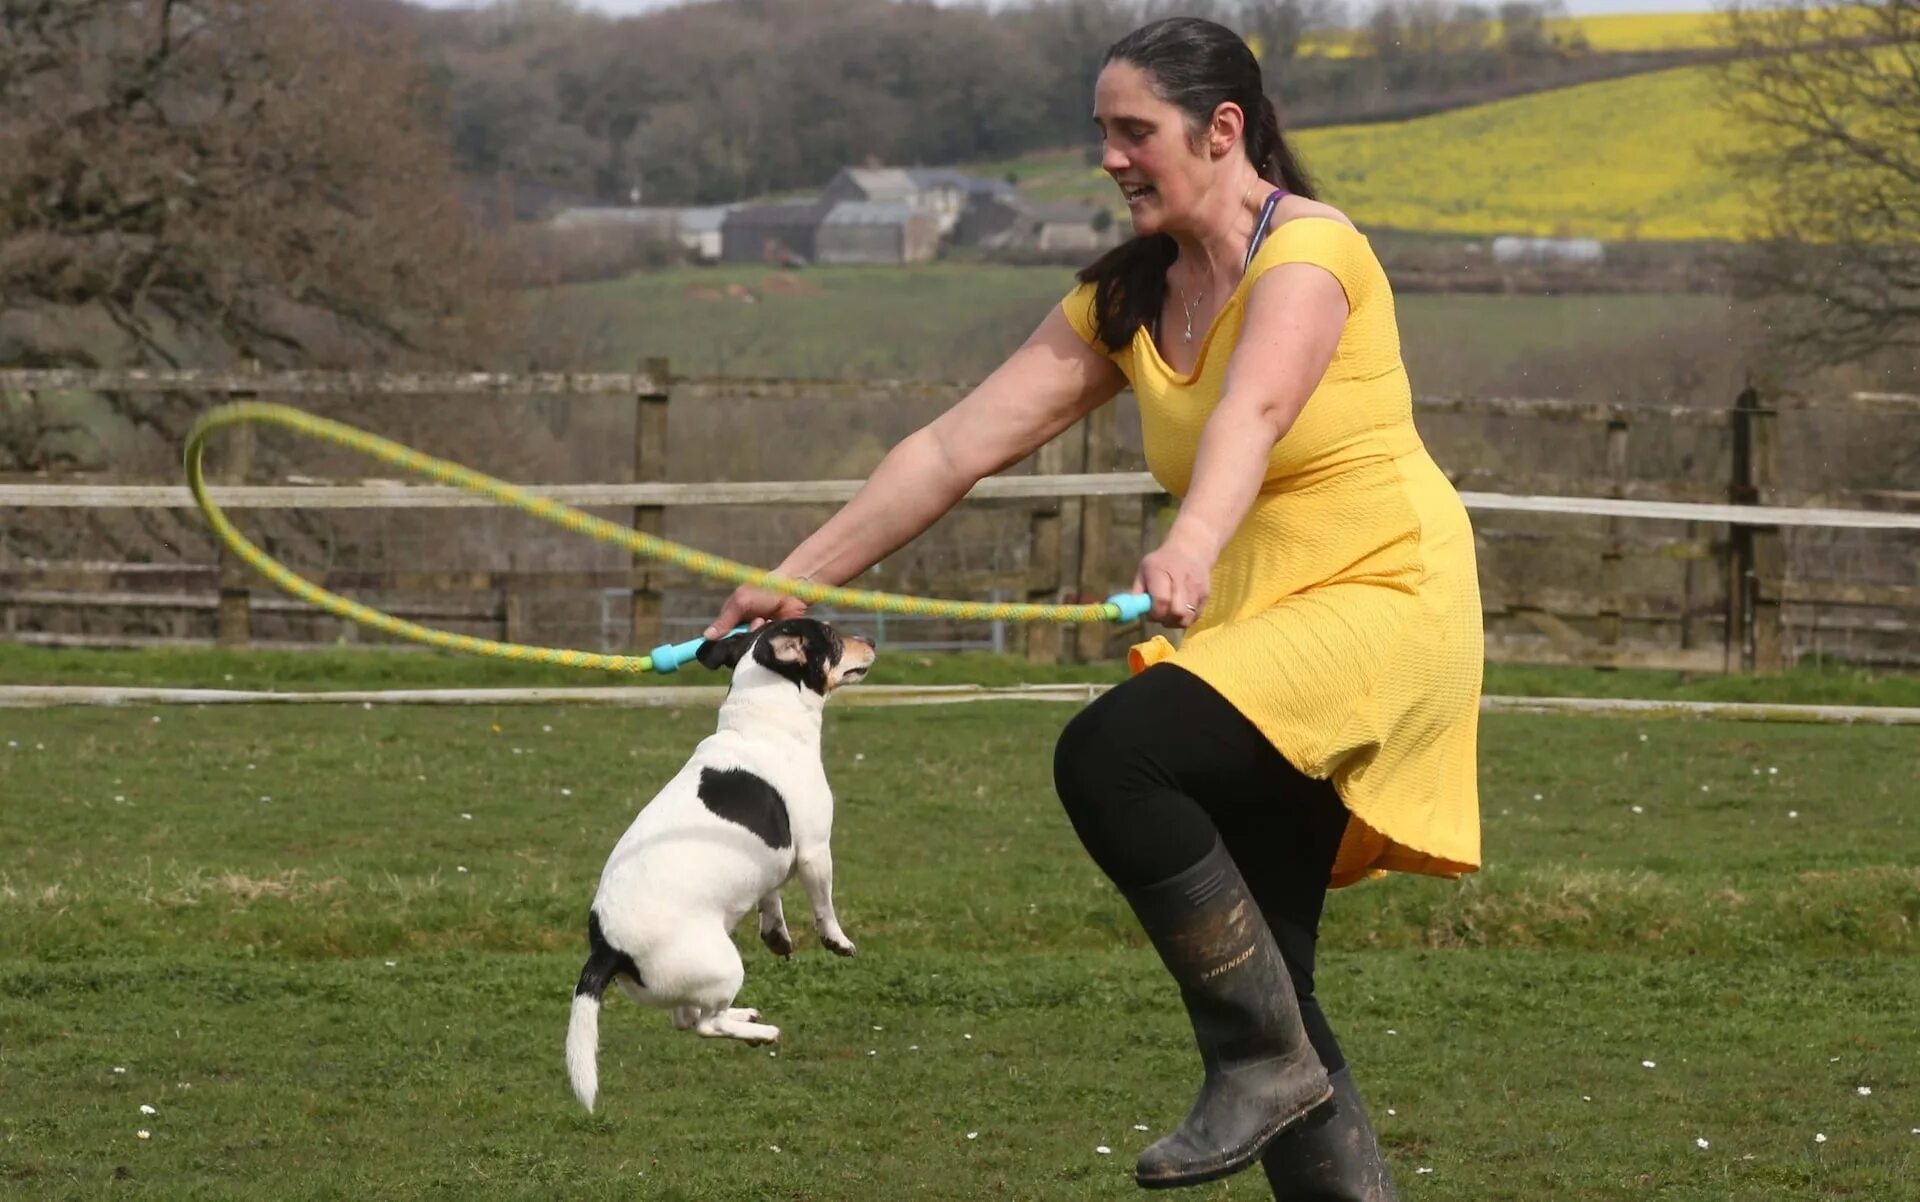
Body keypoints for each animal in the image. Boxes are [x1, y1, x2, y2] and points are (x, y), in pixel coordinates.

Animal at [560, 614, 879, 1105]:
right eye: (830, 634)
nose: (872, 640)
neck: (760, 725)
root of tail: (605, 949)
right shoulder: (813, 852)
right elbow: (824, 907)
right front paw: (838, 941)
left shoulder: (772, 858)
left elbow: (771, 897)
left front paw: (777, 934)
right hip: (724, 965)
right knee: (705, 1024)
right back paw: (761, 1033)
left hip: (691, 981)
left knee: (688, 1018)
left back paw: (745, 1018)